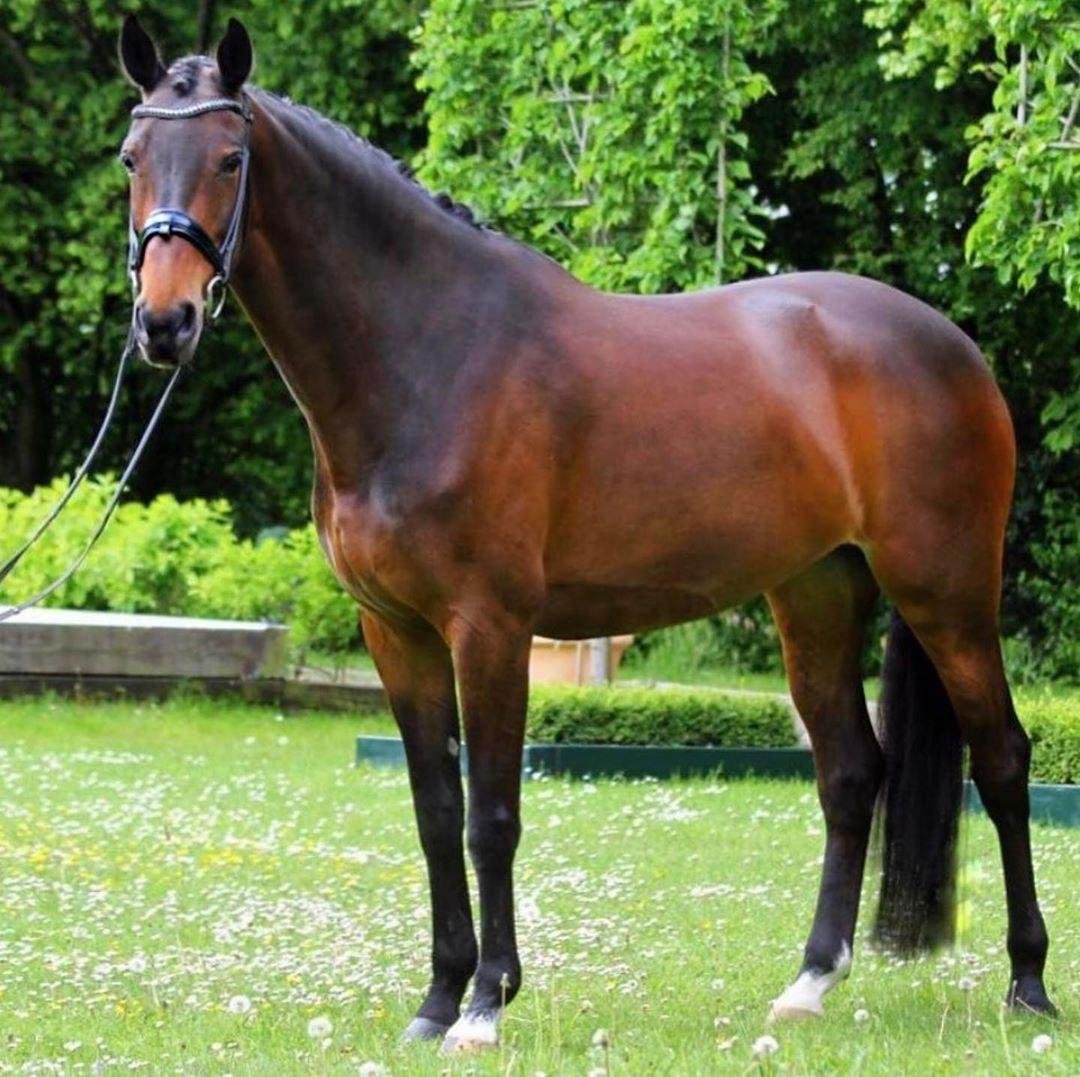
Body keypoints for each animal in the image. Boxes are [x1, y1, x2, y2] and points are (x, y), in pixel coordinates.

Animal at [116, 14, 1055, 1049]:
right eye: (131, 158)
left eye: (231, 158)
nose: (165, 323)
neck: (429, 353)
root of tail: (952, 344)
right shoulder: (394, 631)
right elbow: (435, 812)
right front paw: (436, 1000)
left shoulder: (489, 627)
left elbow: (491, 815)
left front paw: (486, 1004)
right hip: (817, 592)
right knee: (853, 773)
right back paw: (810, 981)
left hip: (946, 590)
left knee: (1002, 760)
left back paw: (1028, 983)